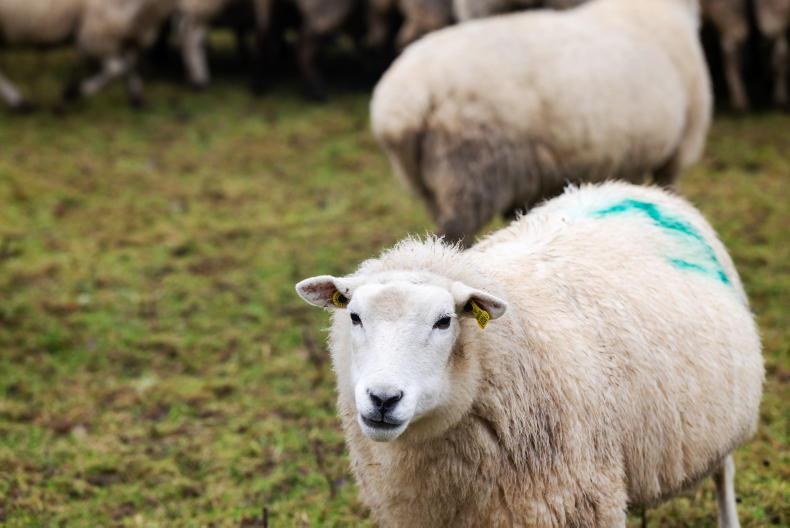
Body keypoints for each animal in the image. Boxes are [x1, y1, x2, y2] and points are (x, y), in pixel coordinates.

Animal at [0, 0, 176, 111]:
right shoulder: (93, 34)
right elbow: (116, 69)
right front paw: (72, 92)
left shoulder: (126, 33)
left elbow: (131, 65)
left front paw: (138, 99)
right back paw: (19, 102)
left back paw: (19, 103)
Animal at [295, 181, 764, 528]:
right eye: (354, 316)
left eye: (444, 321)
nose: (383, 398)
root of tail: (639, 189)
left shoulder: (580, 500)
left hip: (723, 418)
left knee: (724, 476)